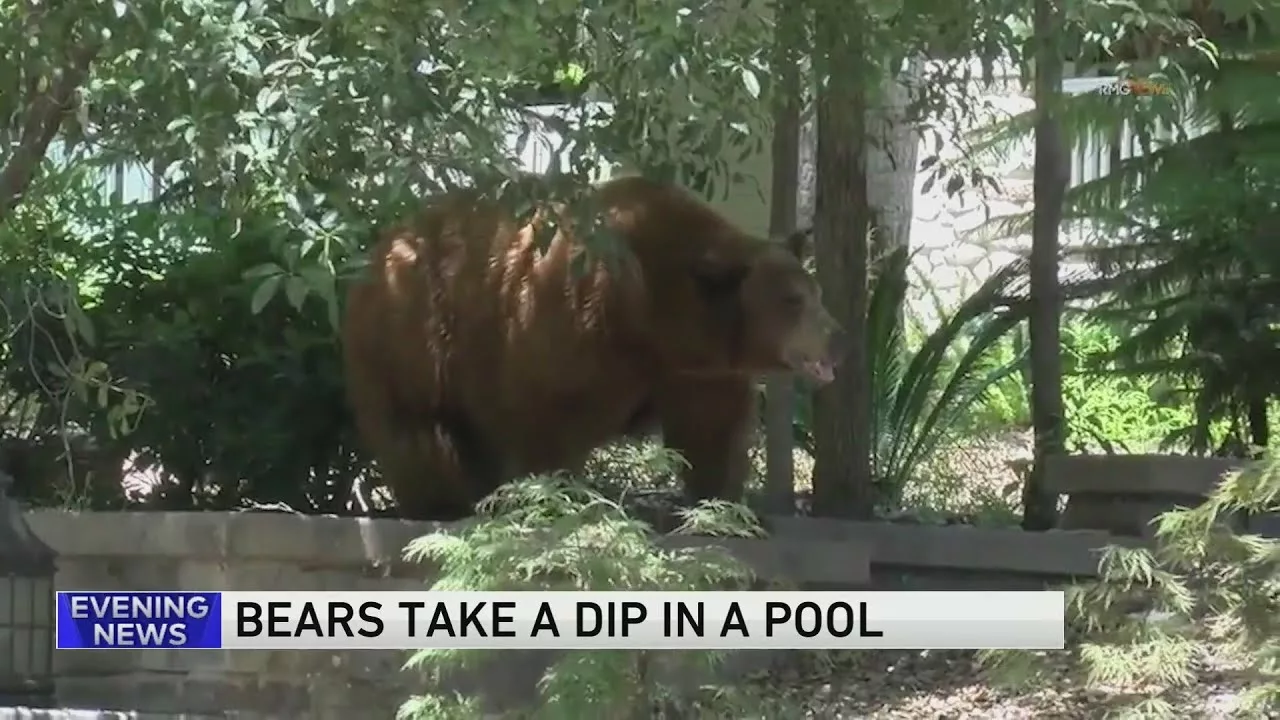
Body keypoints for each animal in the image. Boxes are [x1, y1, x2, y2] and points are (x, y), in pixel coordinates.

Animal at [341, 175, 846, 521]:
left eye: (815, 292)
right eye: (792, 300)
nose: (837, 337)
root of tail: (378, 250)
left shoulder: (695, 370)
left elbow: (713, 430)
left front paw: (721, 504)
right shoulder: (574, 325)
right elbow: (547, 415)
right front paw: (556, 496)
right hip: (412, 340)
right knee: (418, 428)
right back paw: (444, 502)